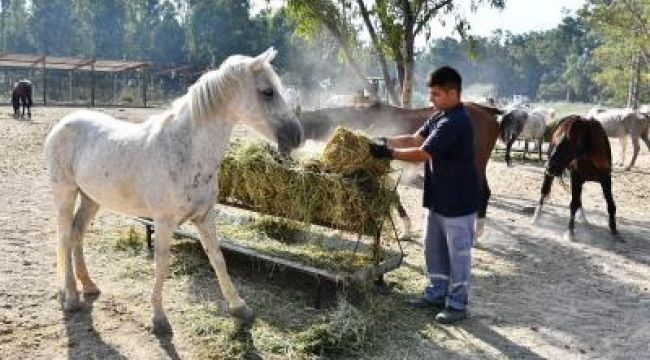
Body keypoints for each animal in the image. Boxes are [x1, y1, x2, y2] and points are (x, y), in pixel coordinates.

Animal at [43, 47, 302, 334]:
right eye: (268, 92)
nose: (297, 136)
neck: (186, 150)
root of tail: (63, 123)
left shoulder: (205, 217)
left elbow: (218, 259)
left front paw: (239, 307)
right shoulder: (165, 222)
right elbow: (161, 264)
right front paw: (159, 318)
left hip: (91, 198)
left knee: (77, 234)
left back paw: (88, 286)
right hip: (65, 193)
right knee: (65, 237)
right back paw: (71, 297)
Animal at [298, 102, 502, 239]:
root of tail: (486, 110)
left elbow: (393, 196)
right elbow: (394, 197)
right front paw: (407, 229)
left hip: (477, 164)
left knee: (484, 192)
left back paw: (477, 234)